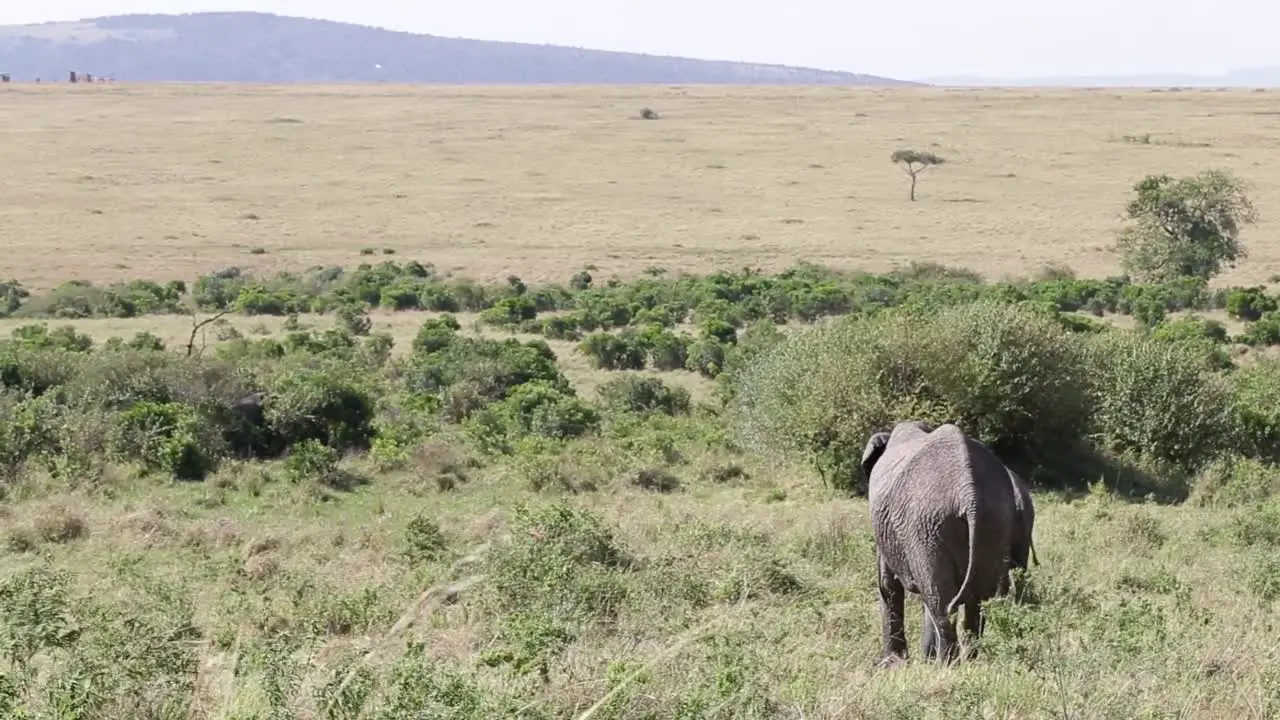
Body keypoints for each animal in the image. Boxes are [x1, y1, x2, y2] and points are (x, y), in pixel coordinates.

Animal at [855, 420, 1034, 661]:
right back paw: (970, 661)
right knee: (974, 600)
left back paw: (946, 664)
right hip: (991, 520)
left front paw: (893, 664)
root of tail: (969, 493)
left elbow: (888, 585)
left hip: (927, 527)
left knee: (941, 602)